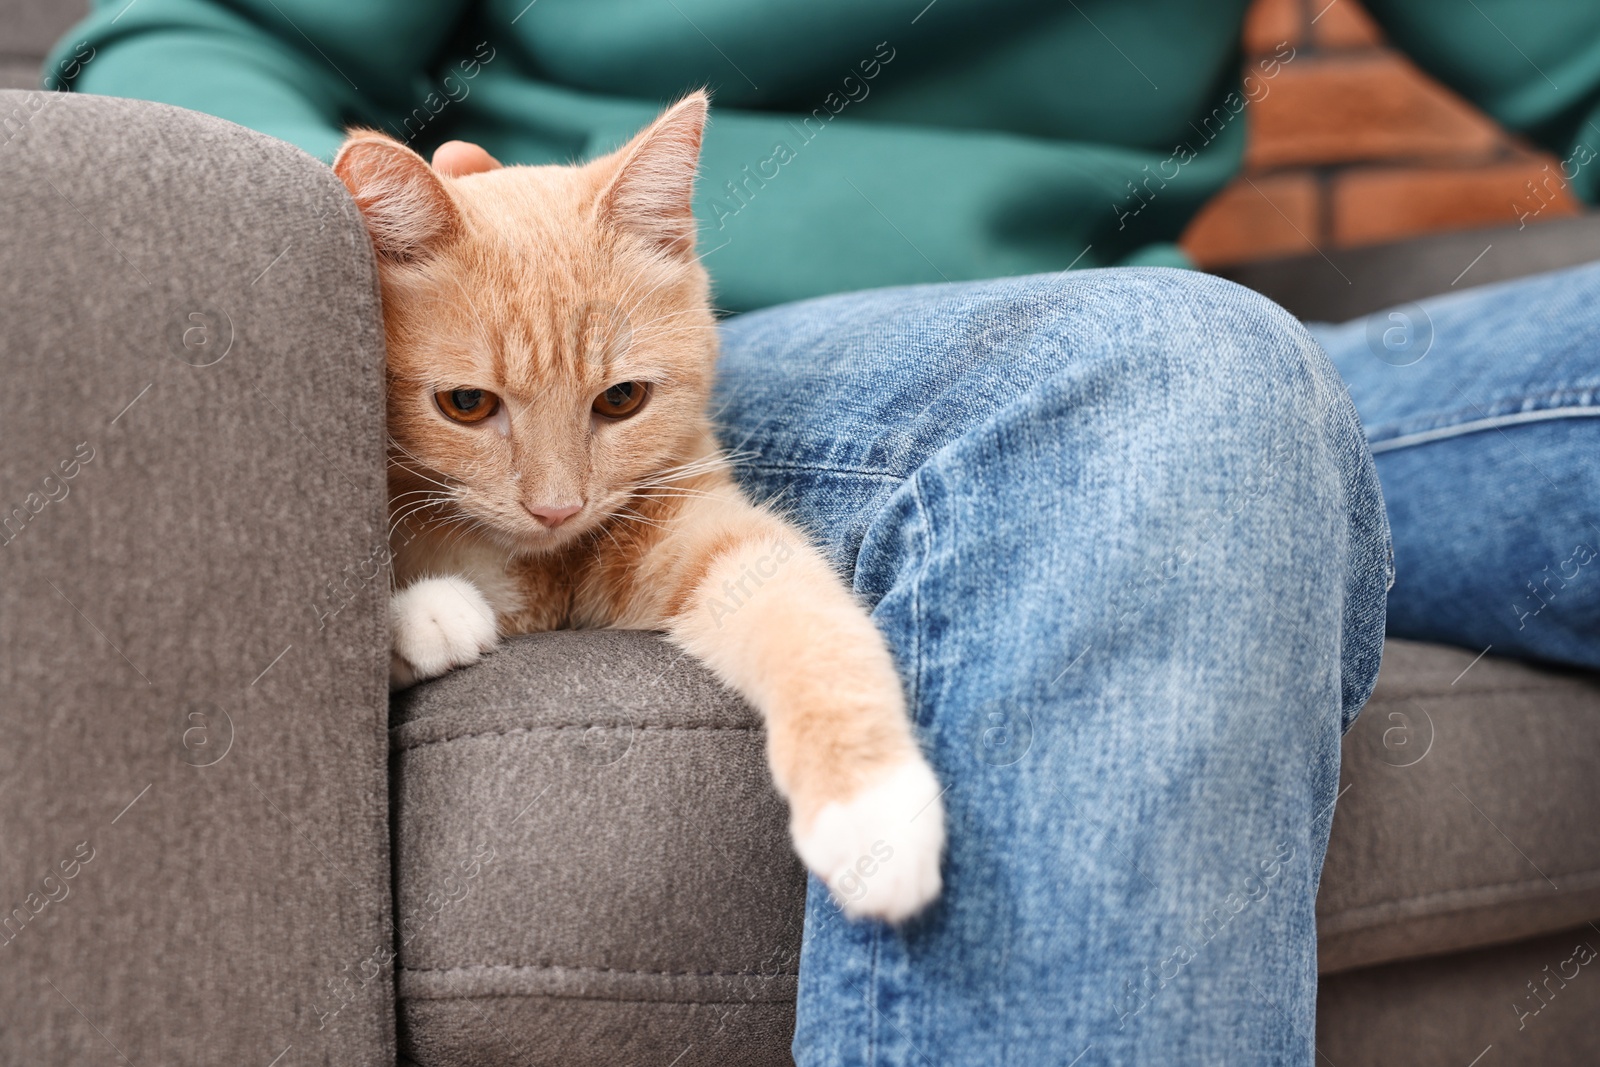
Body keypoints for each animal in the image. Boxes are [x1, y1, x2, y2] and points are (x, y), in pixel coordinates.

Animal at [332, 91, 940, 921]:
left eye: (621, 399)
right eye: (465, 404)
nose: (557, 507)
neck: (546, 568)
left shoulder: (707, 532)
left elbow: (806, 617)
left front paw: (871, 808)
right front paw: (428, 610)